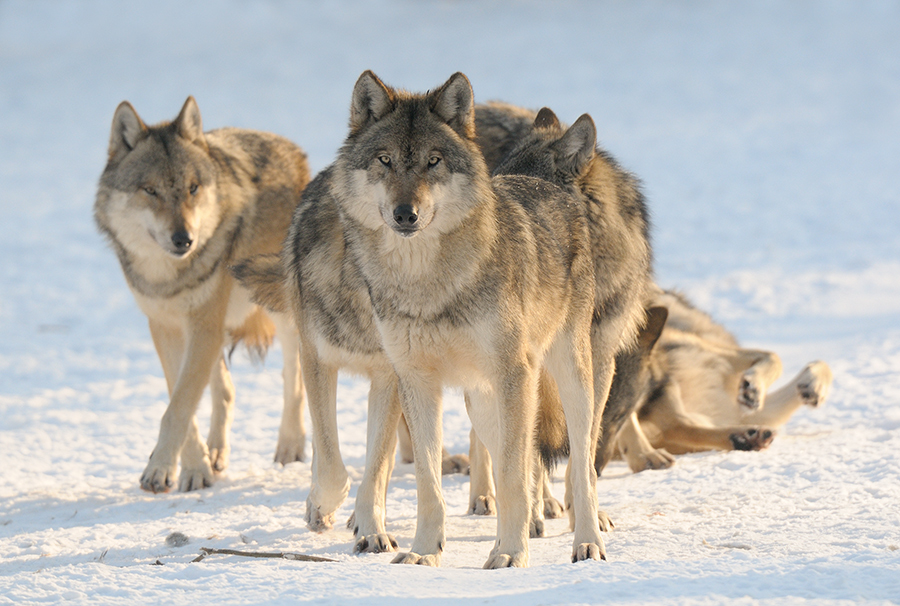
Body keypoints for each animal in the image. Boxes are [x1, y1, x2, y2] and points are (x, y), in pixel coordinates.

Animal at [94, 95, 312, 494]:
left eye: (193, 188)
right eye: (150, 190)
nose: (185, 239)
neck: (169, 276)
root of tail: (290, 147)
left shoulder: (202, 324)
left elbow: (179, 407)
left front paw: (165, 468)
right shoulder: (166, 327)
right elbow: (181, 401)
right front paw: (191, 468)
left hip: (279, 310)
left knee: (294, 375)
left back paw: (290, 446)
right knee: (225, 388)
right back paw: (217, 453)